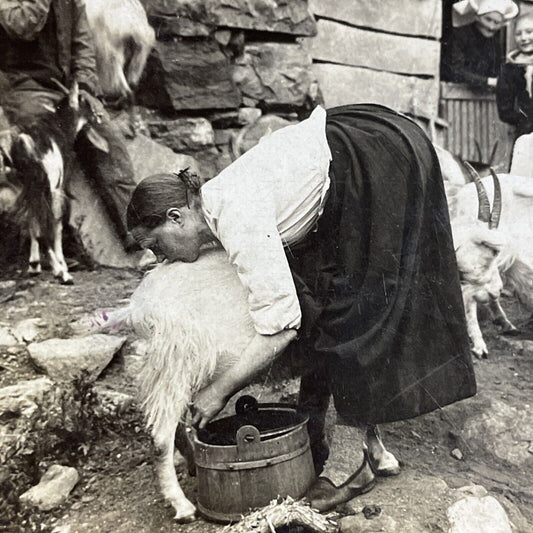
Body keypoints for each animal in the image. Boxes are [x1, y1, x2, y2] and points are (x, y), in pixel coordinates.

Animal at [93, 247, 400, 520]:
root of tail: (137, 309)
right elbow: (363, 408)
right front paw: (381, 458)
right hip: (176, 363)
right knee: (160, 438)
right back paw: (182, 506)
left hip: (157, 371)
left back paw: (192, 462)